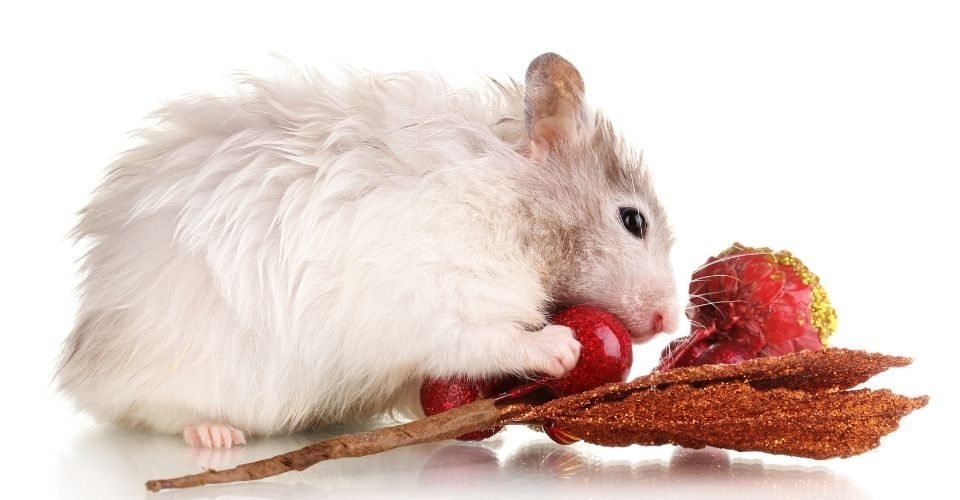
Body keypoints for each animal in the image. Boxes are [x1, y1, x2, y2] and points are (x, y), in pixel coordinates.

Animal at [57, 53, 679, 448]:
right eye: (633, 221)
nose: (672, 322)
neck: (522, 212)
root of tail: (85, 362)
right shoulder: (442, 292)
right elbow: (488, 339)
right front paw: (563, 347)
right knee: (156, 411)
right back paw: (215, 435)